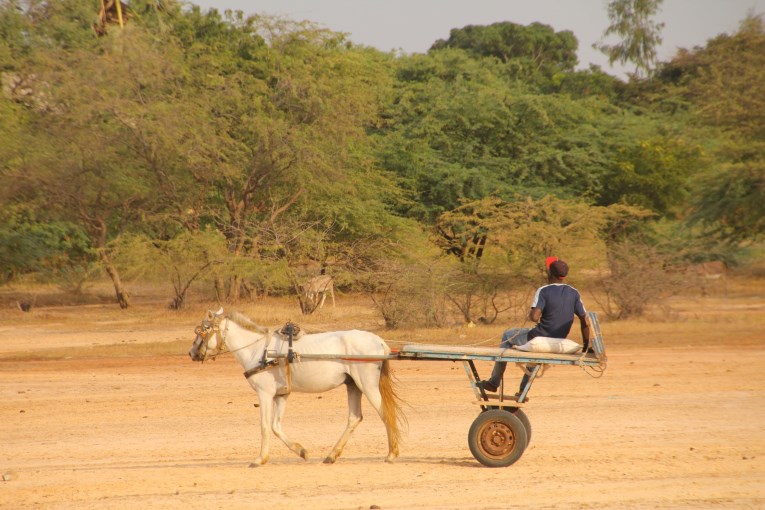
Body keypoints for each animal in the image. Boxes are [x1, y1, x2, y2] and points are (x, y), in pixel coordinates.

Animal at [188, 308, 402, 464]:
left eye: (203, 328)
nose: (192, 352)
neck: (259, 350)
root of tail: (379, 341)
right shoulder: (281, 395)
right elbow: (276, 426)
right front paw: (301, 451)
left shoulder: (264, 394)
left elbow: (264, 425)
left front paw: (260, 459)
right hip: (353, 385)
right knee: (354, 418)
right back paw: (331, 455)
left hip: (367, 384)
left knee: (385, 413)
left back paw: (391, 454)